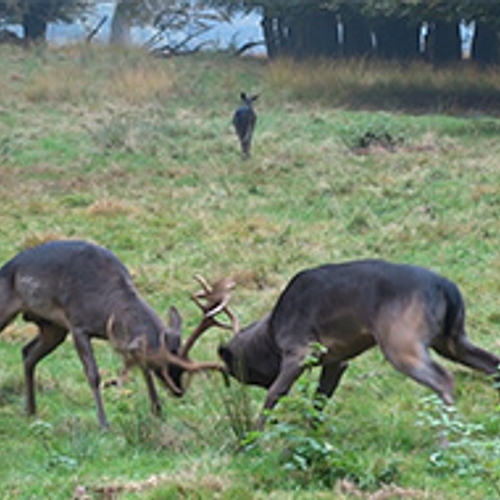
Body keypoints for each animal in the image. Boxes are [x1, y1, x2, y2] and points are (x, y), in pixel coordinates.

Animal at [0, 240, 227, 428]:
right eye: (162, 367)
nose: (178, 391)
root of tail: (7, 266)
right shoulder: (77, 325)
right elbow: (93, 374)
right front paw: (103, 422)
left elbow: (142, 369)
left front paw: (157, 411)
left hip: (53, 328)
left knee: (27, 352)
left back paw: (31, 410)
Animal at [217, 260, 500, 428]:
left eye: (237, 370)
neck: (273, 332)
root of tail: (447, 288)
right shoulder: (336, 359)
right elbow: (320, 398)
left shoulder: (301, 348)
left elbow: (275, 393)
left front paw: (250, 440)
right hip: (453, 338)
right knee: (492, 364)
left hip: (402, 339)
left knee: (445, 378)